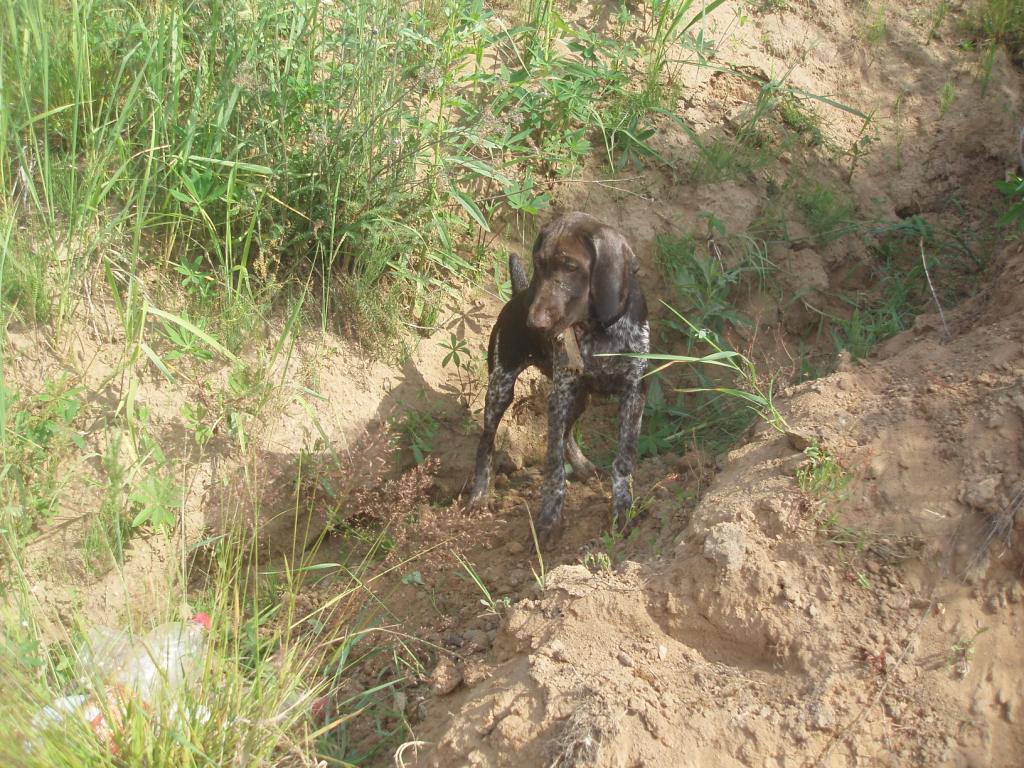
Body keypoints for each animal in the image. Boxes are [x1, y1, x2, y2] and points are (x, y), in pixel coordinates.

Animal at [467, 211, 649, 542]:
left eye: (572, 266)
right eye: (539, 264)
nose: (534, 323)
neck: (600, 330)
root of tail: (518, 294)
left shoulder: (634, 391)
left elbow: (624, 459)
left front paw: (622, 508)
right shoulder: (563, 391)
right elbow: (552, 464)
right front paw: (549, 519)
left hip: (577, 398)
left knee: (566, 435)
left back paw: (583, 466)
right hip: (501, 388)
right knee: (486, 444)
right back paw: (479, 495)